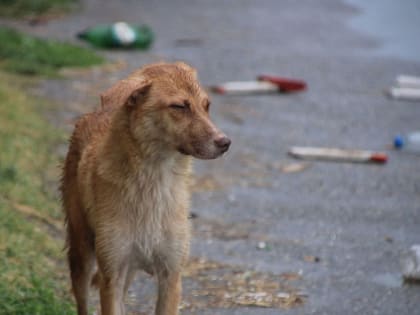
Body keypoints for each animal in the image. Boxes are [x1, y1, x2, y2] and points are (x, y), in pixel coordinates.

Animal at [60, 62, 230, 315]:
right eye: (179, 106)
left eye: (206, 106)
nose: (225, 143)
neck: (153, 181)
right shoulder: (112, 274)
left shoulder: (171, 275)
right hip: (82, 254)